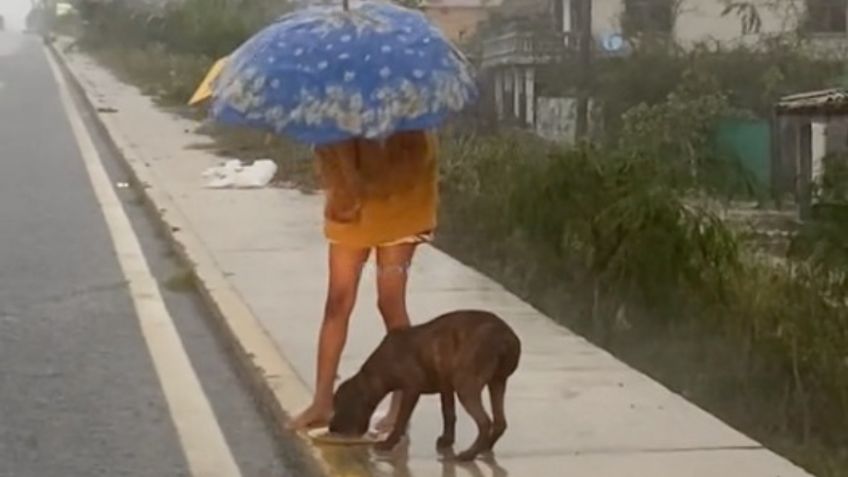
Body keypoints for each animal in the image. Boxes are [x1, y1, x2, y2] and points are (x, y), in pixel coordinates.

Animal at [328, 310, 520, 460]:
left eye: (339, 406)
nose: (331, 428)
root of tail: (507, 338)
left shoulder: (411, 390)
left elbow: (401, 419)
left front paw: (388, 443)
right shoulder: (446, 387)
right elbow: (448, 414)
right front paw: (447, 440)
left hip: (466, 387)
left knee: (485, 422)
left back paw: (468, 455)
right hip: (497, 383)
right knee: (500, 422)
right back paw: (485, 447)